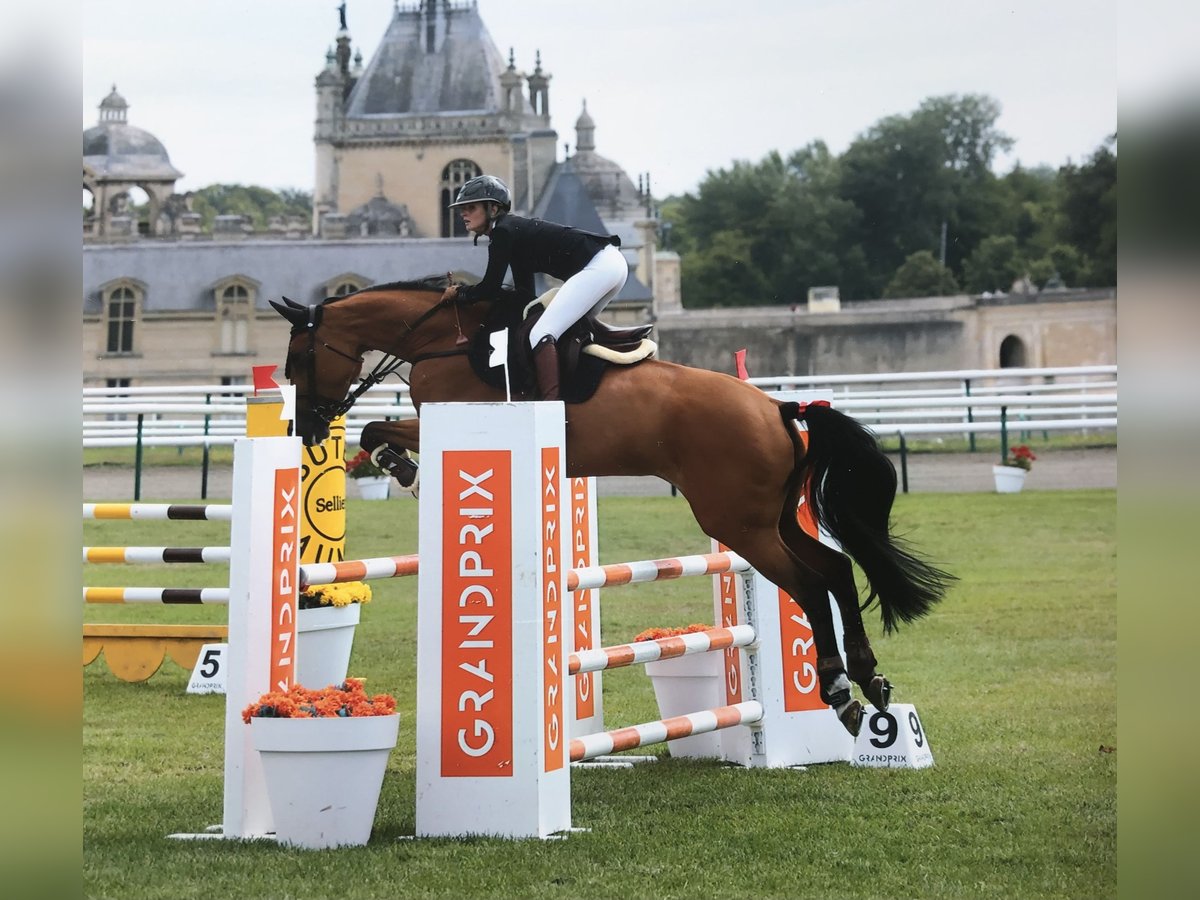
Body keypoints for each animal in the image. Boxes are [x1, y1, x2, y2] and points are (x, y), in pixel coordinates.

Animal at [272, 278, 955, 734]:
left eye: (300, 357)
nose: (309, 426)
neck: (446, 340)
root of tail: (777, 408)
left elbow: (375, 430)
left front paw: (407, 470)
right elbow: (374, 430)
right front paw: (402, 468)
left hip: (738, 523)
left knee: (811, 584)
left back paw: (839, 690)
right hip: (773, 519)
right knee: (836, 570)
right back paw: (869, 679)